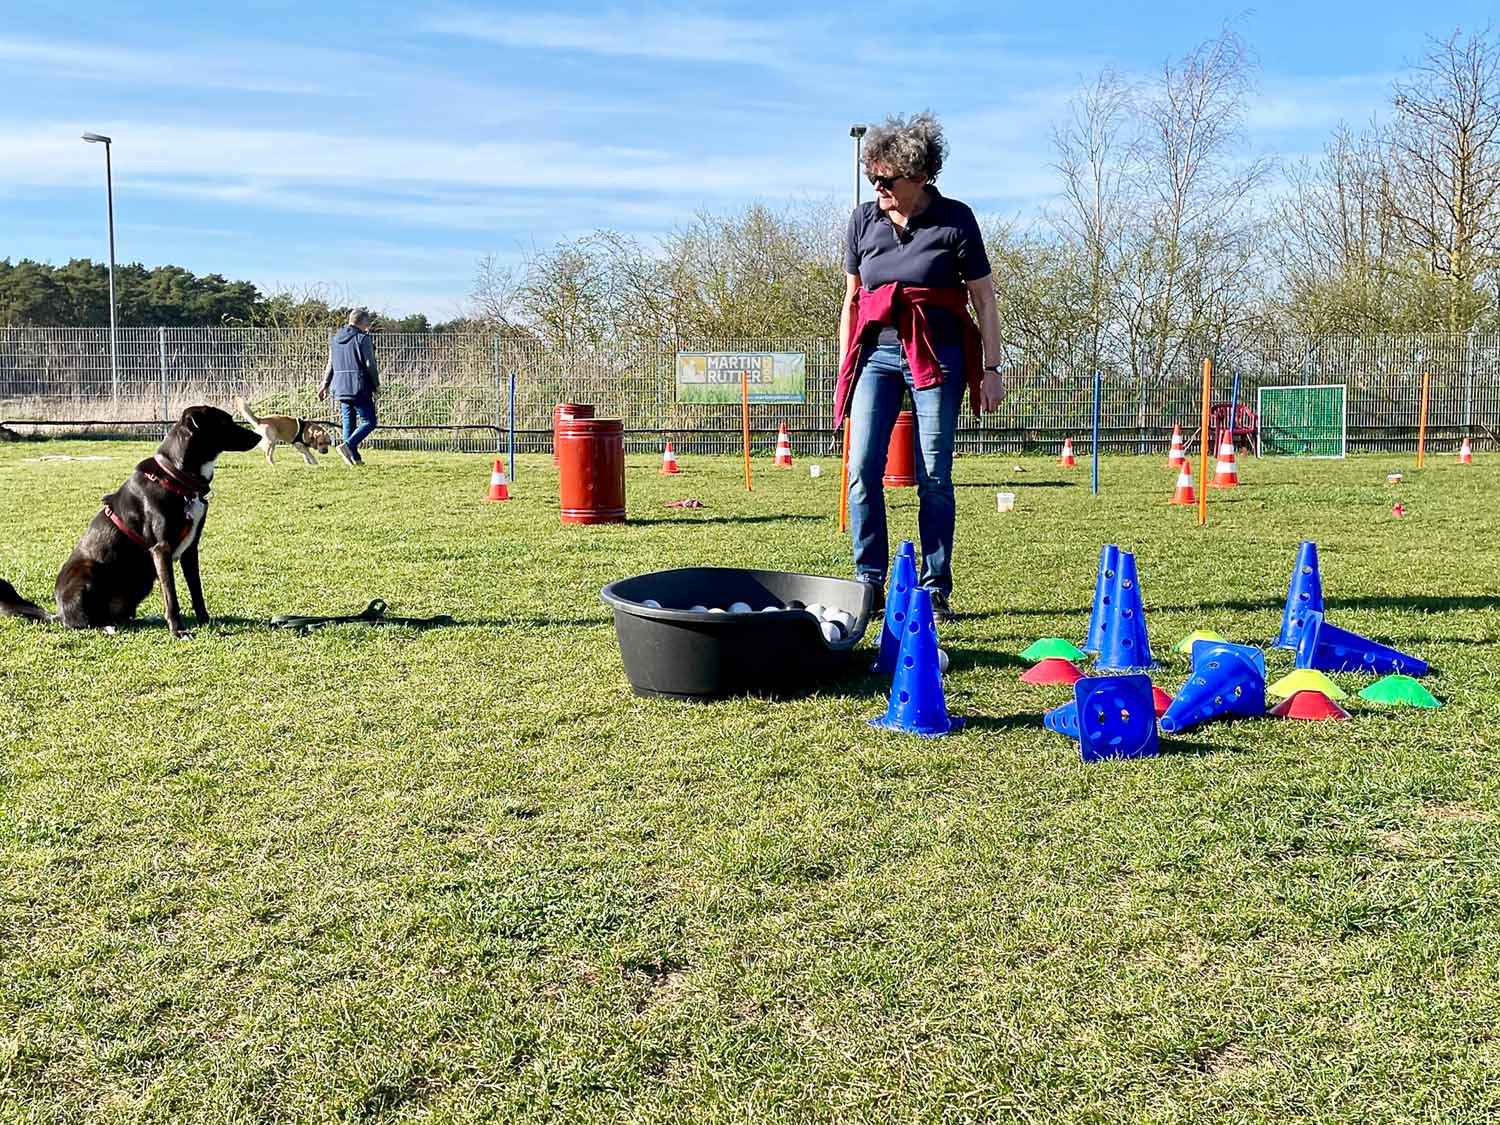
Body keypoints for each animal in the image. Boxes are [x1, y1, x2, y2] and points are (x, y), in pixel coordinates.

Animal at [0, 405, 264, 639]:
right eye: (225, 422)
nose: (259, 435)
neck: (177, 478)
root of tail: (57, 614)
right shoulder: (161, 549)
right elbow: (171, 596)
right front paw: (178, 631)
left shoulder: (191, 550)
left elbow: (196, 591)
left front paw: (205, 621)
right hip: (89, 571)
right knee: (82, 622)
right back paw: (104, 628)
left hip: (141, 581)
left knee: (120, 616)